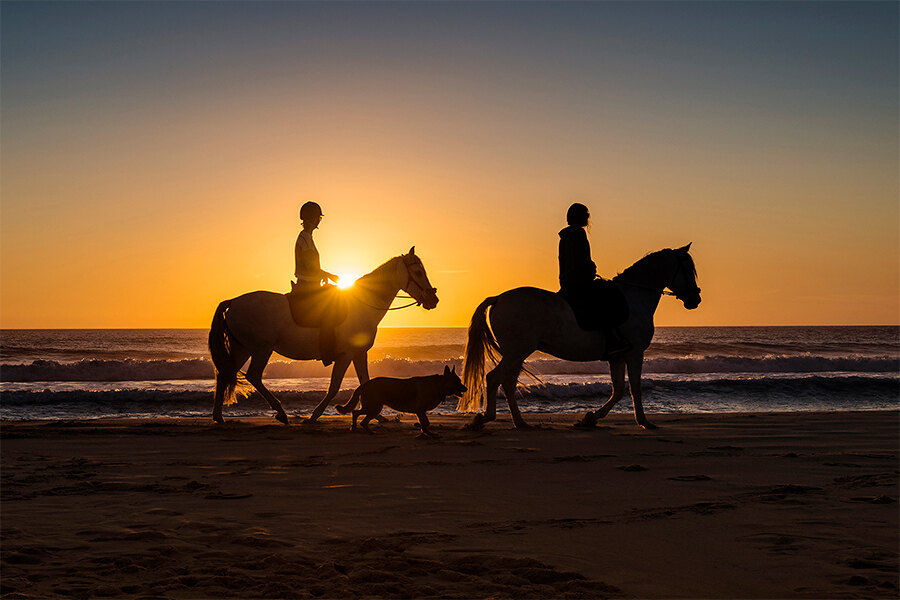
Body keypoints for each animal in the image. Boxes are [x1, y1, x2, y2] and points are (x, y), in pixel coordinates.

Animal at [208, 248, 440, 426]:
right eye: (418, 272)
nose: (433, 299)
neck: (363, 304)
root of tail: (234, 301)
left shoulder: (358, 353)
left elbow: (365, 381)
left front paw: (379, 416)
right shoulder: (347, 354)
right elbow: (335, 386)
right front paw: (314, 416)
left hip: (243, 348)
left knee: (225, 374)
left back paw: (219, 417)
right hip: (261, 349)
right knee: (253, 376)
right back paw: (280, 413)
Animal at [334, 366, 468, 436]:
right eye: (458, 382)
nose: (466, 388)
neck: (438, 385)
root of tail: (364, 385)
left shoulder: (421, 412)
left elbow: (426, 422)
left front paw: (425, 431)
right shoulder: (420, 410)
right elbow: (425, 423)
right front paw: (426, 433)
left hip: (374, 409)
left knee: (361, 420)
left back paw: (367, 431)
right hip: (374, 408)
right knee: (356, 413)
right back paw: (355, 428)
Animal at [458, 245, 704, 432]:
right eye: (688, 269)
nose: (695, 300)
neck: (633, 297)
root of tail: (499, 298)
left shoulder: (617, 356)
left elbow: (618, 390)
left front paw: (589, 418)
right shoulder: (635, 352)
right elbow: (635, 387)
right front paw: (644, 422)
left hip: (518, 353)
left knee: (507, 383)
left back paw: (520, 423)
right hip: (517, 351)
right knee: (494, 378)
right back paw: (484, 419)